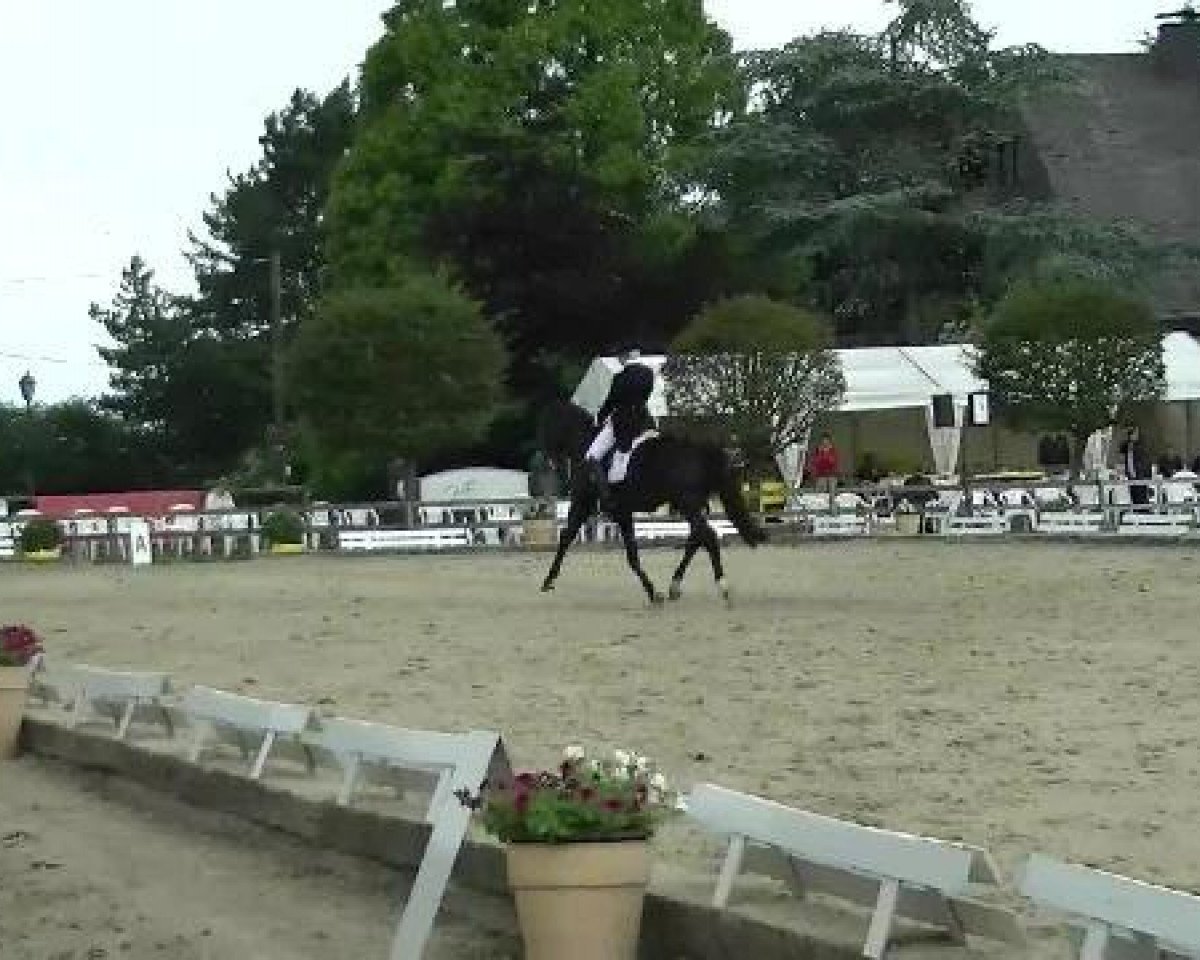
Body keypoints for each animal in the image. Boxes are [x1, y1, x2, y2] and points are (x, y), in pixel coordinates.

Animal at [537, 398, 767, 604]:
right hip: (689, 505)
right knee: (696, 538)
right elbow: (625, 551)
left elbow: (570, 538)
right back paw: (675, 586)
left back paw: (723, 586)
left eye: (547, 426)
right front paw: (653, 592)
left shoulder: (588, 504)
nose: (550, 462)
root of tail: (700, 451)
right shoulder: (620, 512)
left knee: (707, 536)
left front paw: (549, 580)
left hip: (688, 504)